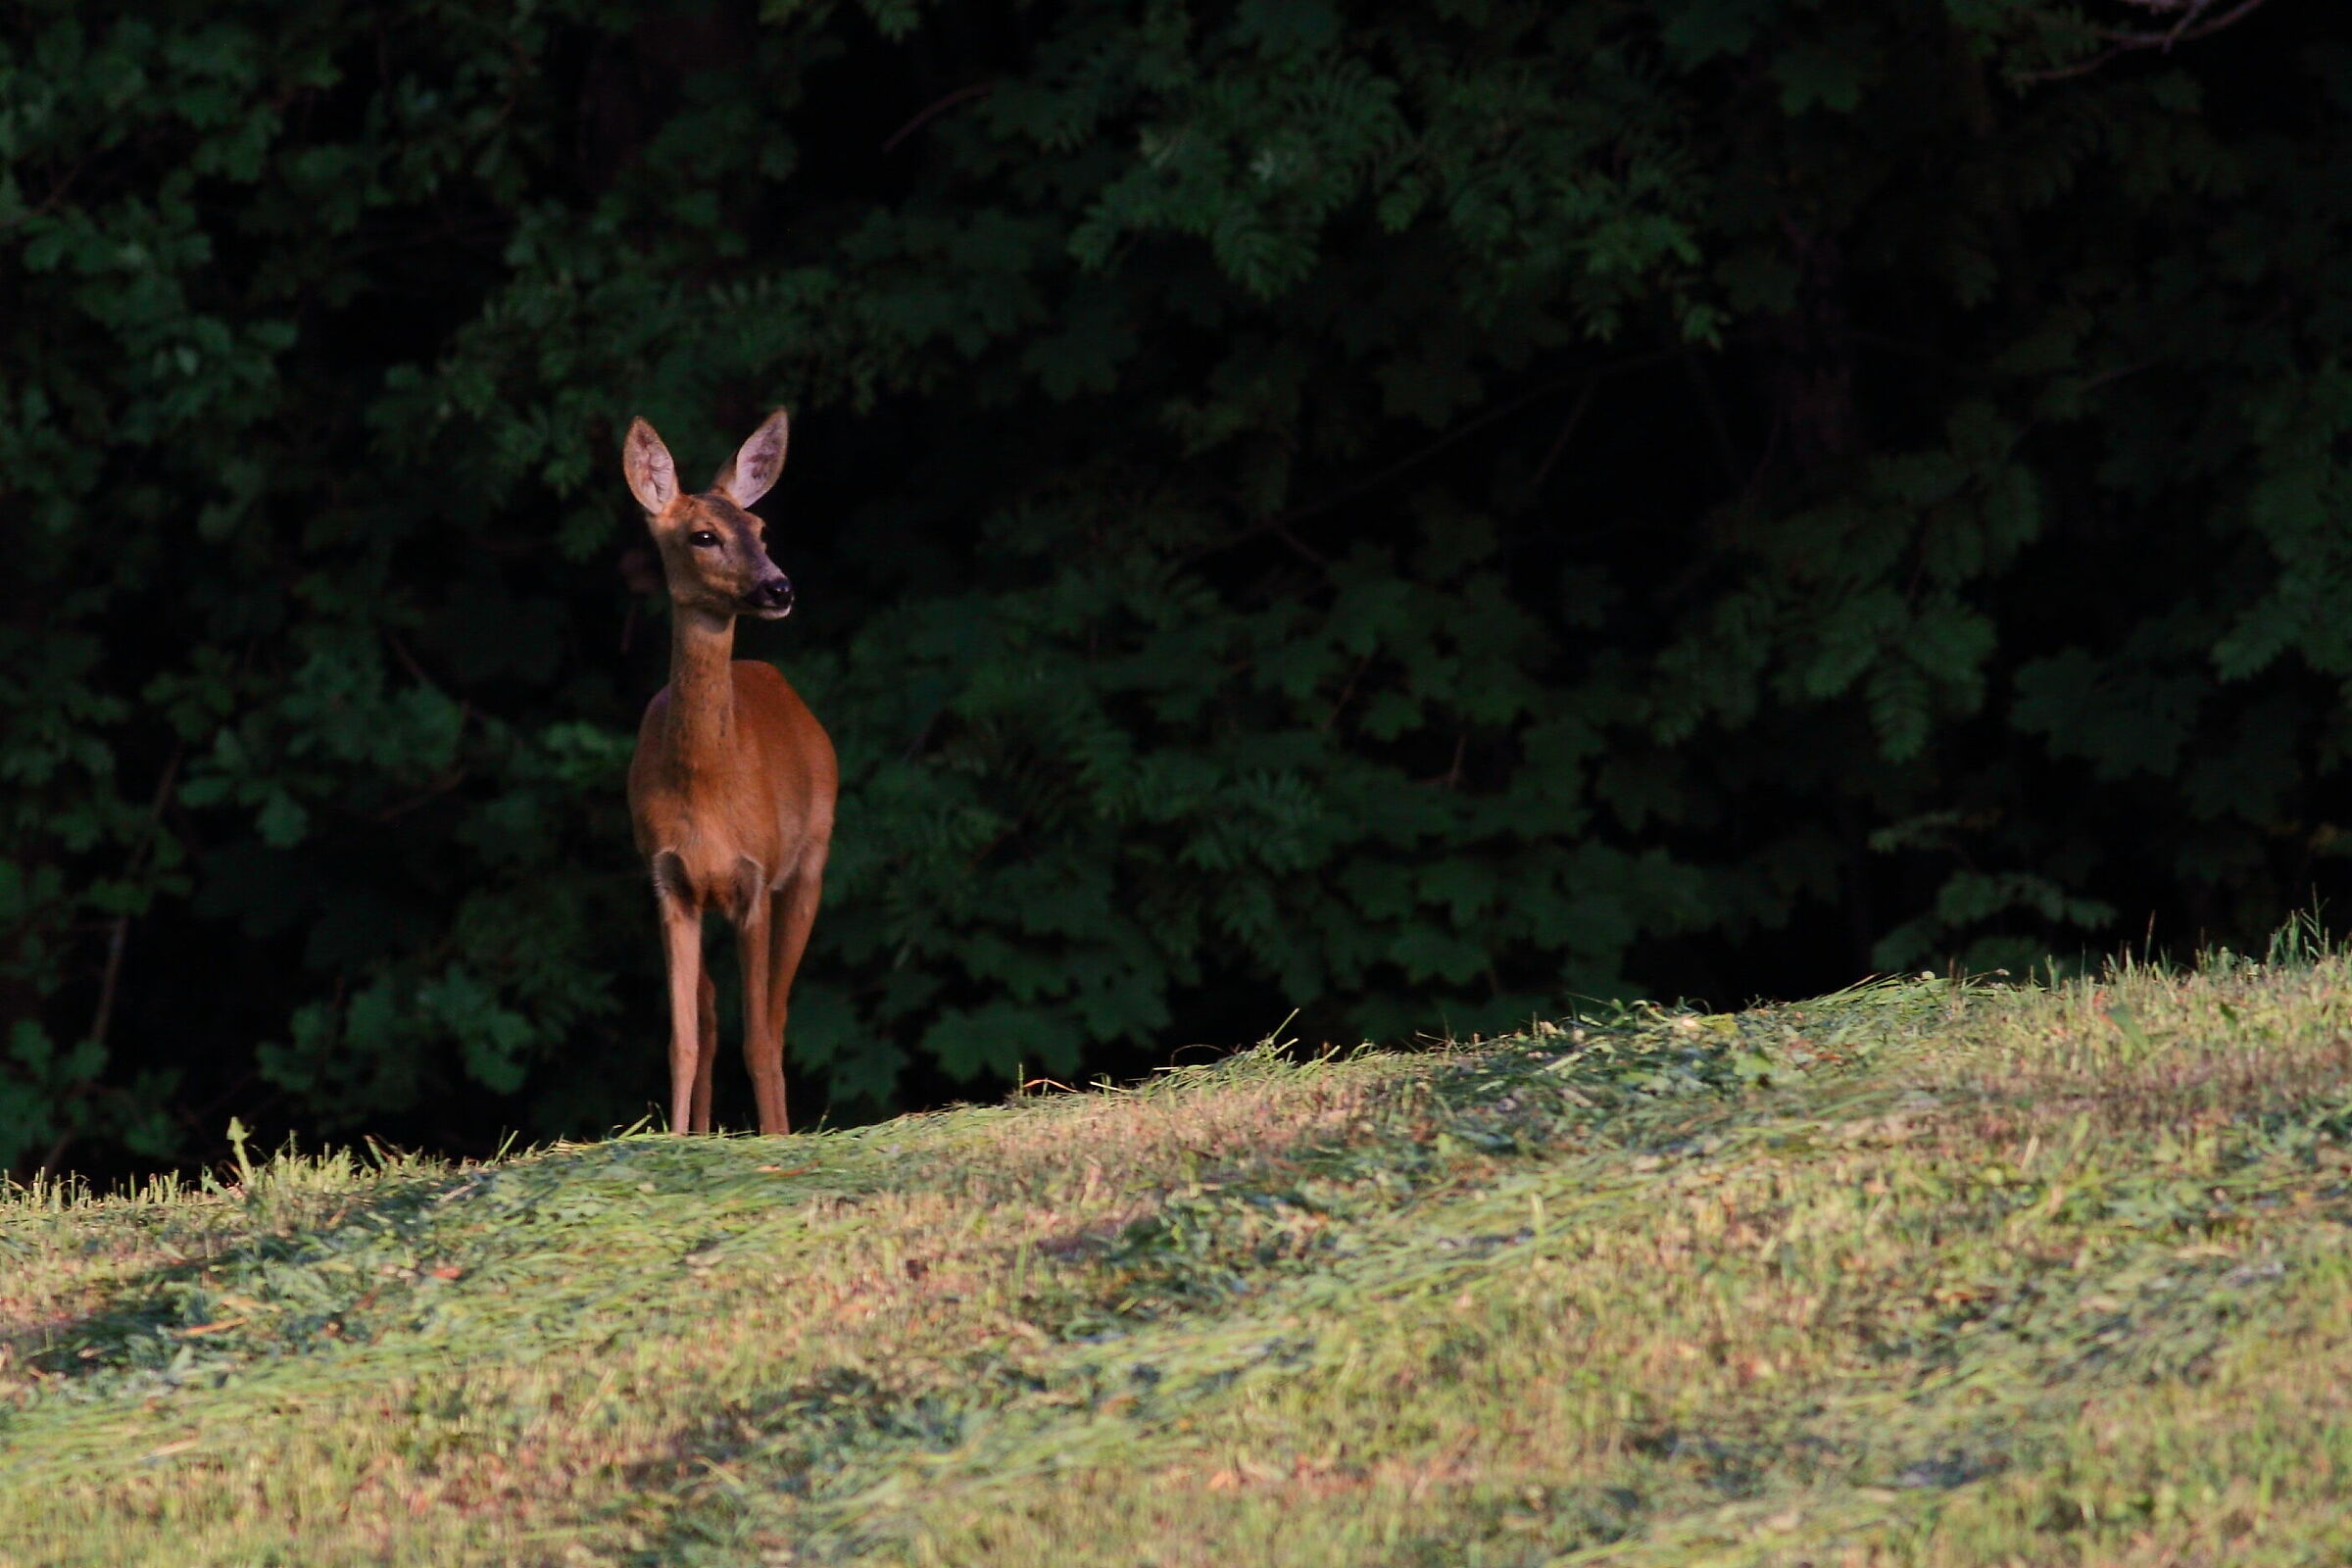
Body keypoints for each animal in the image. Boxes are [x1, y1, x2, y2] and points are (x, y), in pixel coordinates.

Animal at [621, 410, 837, 1136]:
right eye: (703, 536)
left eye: (762, 530)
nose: (780, 587)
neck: (709, 792)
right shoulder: (667, 883)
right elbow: (683, 1037)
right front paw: (678, 1139)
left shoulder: (756, 877)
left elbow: (761, 1034)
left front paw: (775, 1140)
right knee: (714, 1011)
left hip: (811, 863)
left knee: (775, 1013)